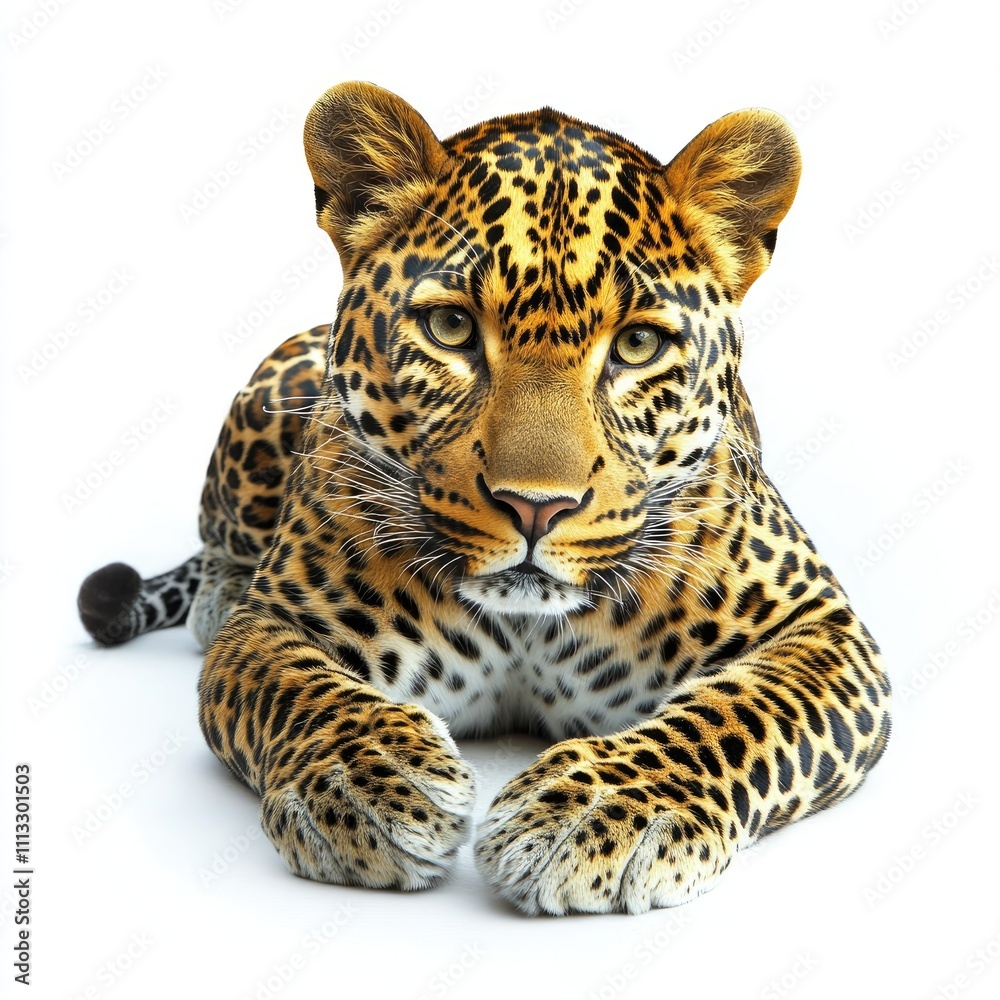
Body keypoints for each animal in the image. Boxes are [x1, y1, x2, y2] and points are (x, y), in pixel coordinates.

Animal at [78, 81, 891, 915]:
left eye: (637, 345)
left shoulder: (819, 628)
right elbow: (297, 688)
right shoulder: (277, 622)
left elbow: (736, 715)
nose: (536, 507)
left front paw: (601, 813)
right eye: (450, 327)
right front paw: (372, 783)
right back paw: (218, 595)